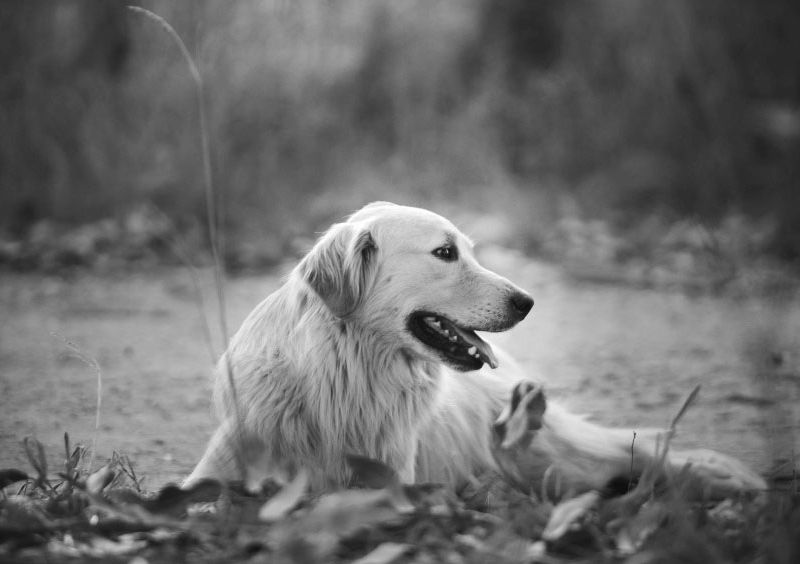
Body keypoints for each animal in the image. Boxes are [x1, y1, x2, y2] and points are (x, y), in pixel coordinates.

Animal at [184, 202, 764, 498]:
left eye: (468, 249)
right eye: (445, 253)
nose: (528, 302)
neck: (346, 375)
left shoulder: (389, 484)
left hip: (547, 451)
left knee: (633, 449)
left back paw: (721, 476)